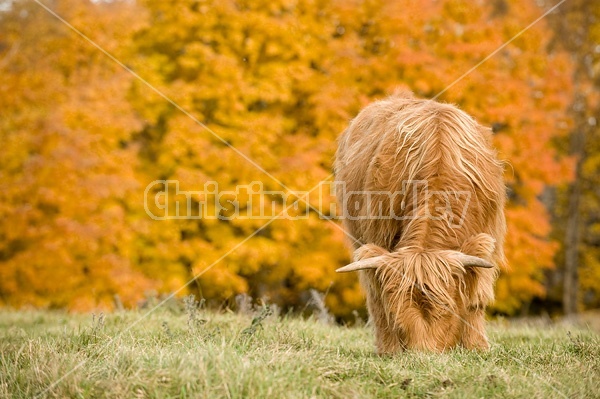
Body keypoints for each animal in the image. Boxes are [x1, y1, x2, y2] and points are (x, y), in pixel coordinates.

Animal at [336, 92, 504, 354]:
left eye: (448, 310)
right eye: (398, 317)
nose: (424, 355)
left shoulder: (486, 237)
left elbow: (477, 296)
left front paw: (476, 346)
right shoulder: (376, 236)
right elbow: (379, 297)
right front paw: (391, 349)